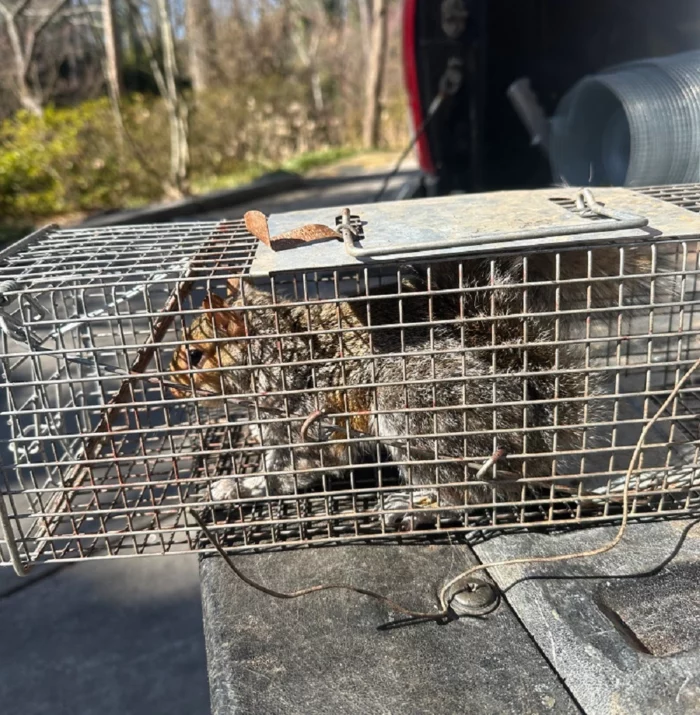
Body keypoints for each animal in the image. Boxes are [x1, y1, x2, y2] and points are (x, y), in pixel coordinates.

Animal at [169, 245, 676, 526]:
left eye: (195, 355)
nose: (172, 390)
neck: (276, 349)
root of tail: (532, 437)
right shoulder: (277, 429)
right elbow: (272, 472)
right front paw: (234, 487)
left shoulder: (312, 415)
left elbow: (302, 468)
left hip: (409, 411)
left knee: (471, 497)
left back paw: (421, 507)